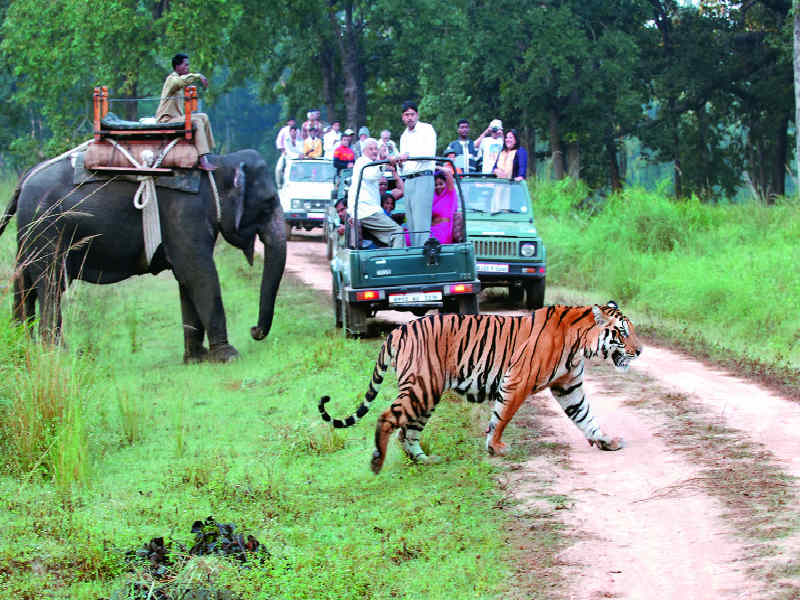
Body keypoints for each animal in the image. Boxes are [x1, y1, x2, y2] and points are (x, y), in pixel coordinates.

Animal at [0, 148, 288, 364]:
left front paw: (196, 358)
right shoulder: (186, 212)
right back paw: (58, 354)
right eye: (268, 203)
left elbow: (186, 278)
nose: (254, 331)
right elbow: (199, 273)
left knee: (25, 284)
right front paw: (228, 356)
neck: (218, 164)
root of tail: (26, 178)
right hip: (48, 228)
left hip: (29, 233)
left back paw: (24, 347)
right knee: (51, 283)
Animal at [318, 302, 644, 476]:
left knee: (406, 431)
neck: (581, 345)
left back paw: (424, 460)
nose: (639, 351)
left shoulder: (569, 388)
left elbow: (586, 417)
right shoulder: (517, 381)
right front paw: (496, 447)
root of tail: (399, 329)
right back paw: (377, 462)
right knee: (387, 418)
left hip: (426, 393)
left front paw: (606, 441)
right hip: (423, 387)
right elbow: (502, 416)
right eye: (622, 333)